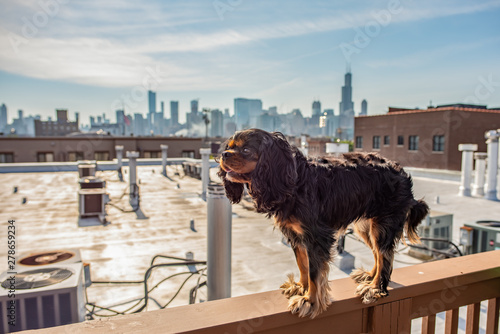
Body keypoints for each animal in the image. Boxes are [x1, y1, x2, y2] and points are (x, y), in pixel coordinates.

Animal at [217, 129, 428, 318]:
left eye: (246, 150)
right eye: (229, 147)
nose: (223, 154)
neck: (294, 180)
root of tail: (402, 173)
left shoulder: (317, 237)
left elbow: (314, 272)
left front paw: (309, 301)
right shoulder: (296, 235)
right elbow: (303, 265)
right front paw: (300, 287)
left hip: (383, 225)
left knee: (386, 255)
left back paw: (375, 288)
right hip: (366, 227)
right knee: (379, 253)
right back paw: (370, 275)